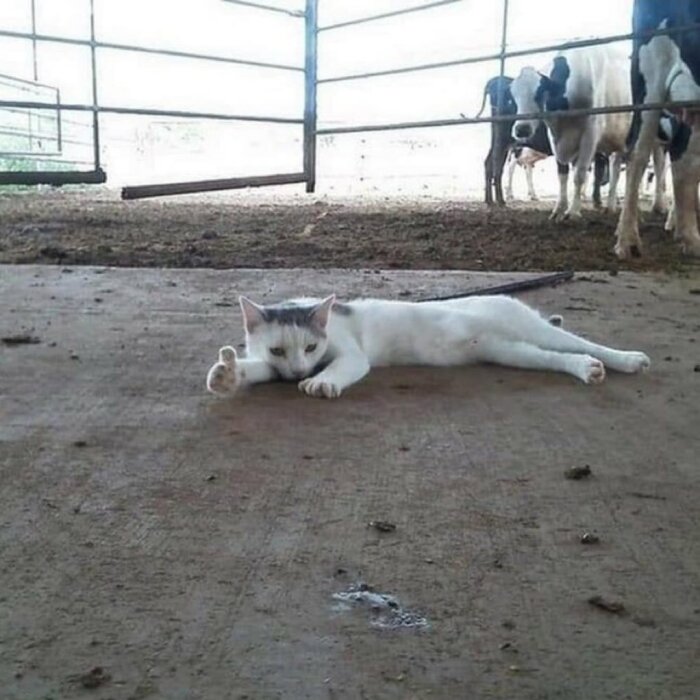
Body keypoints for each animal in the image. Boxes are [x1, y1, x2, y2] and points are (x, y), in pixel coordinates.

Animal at [508, 46, 636, 220]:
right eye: (513, 96)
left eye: (540, 92)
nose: (521, 129)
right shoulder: (555, 138)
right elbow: (562, 174)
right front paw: (559, 209)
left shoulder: (590, 136)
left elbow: (580, 175)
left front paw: (574, 211)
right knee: (615, 169)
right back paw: (610, 206)